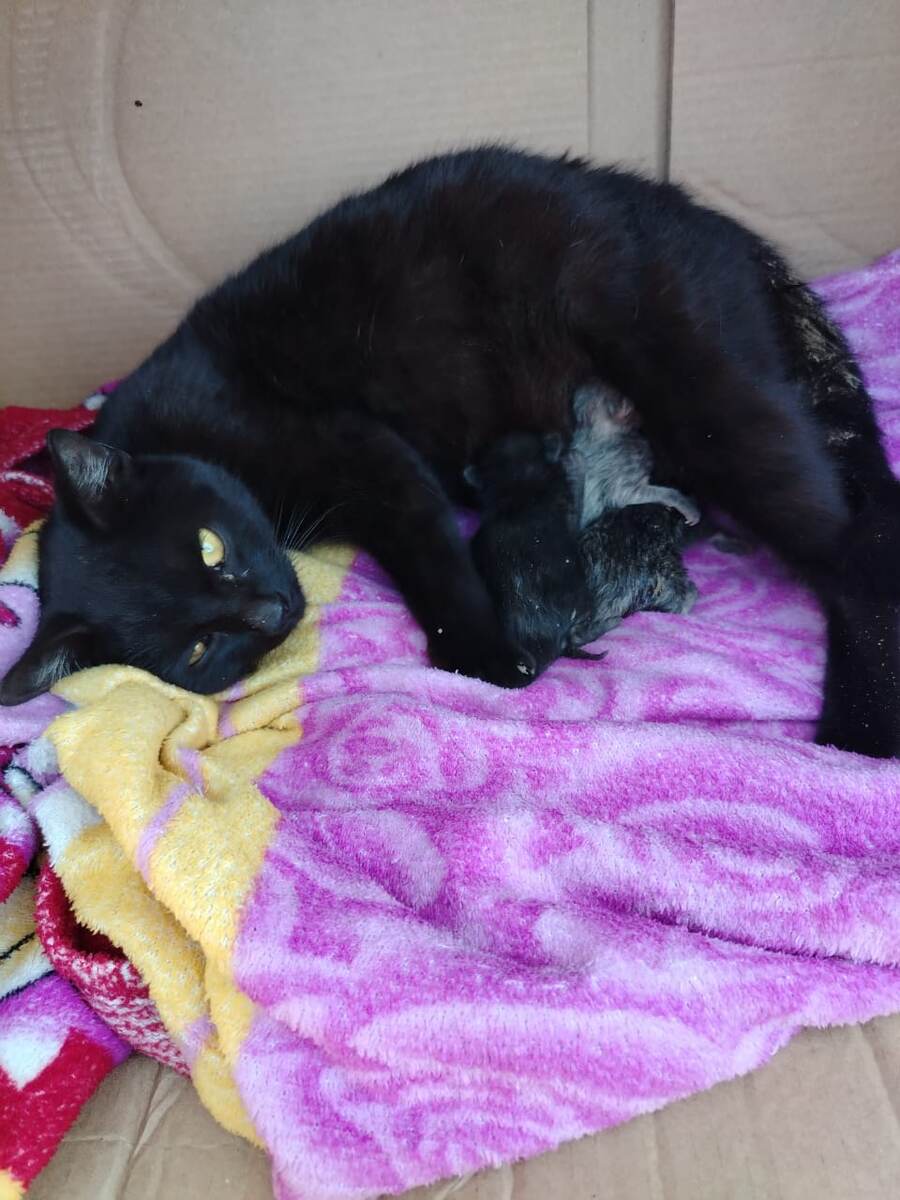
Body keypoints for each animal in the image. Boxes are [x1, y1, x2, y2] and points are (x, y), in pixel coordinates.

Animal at [2, 146, 898, 756]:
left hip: (709, 398)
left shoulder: (370, 452)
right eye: (197, 647)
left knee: (857, 560)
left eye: (209, 547)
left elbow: (436, 568)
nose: (270, 611)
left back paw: (854, 738)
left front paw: (490, 657)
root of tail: (719, 227)